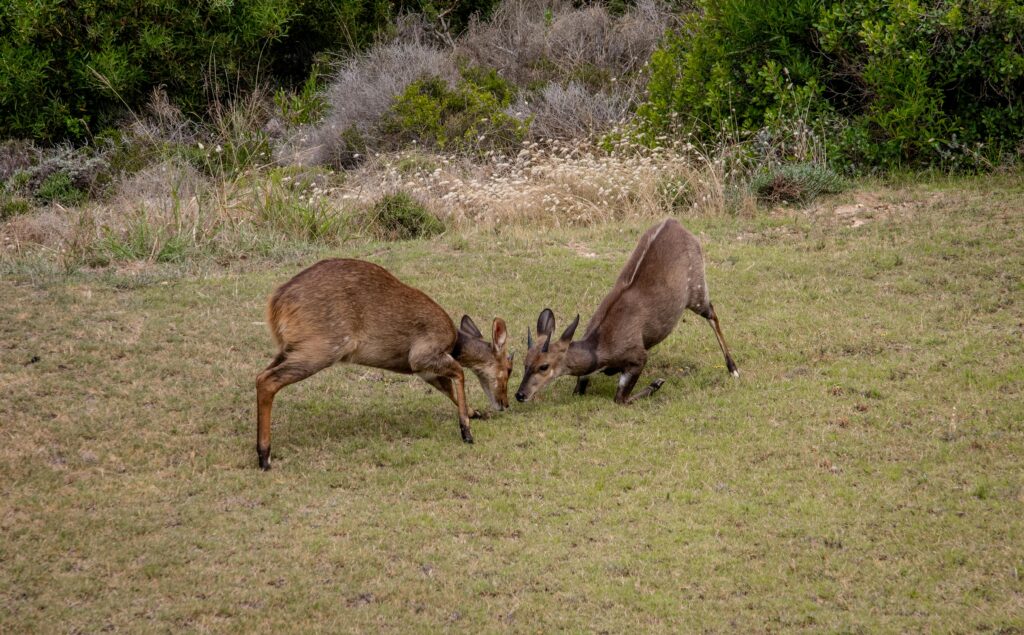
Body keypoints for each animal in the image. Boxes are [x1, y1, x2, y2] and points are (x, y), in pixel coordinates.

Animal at [256, 255, 512, 469]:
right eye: (509, 368)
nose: (505, 403)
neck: (454, 342)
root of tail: (276, 302)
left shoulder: (424, 370)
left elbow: (447, 386)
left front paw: (475, 413)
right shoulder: (421, 356)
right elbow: (460, 372)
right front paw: (467, 432)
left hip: (289, 348)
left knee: (260, 375)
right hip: (321, 349)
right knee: (267, 380)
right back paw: (265, 457)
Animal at [516, 218, 741, 403]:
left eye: (544, 366)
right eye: (525, 362)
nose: (520, 394)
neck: (601, 349)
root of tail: (676, 223)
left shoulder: (638, 356)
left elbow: (621, 398)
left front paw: (657, 383)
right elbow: (579, 389)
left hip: (696, 290)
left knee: (712, 313)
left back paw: (733, 370)